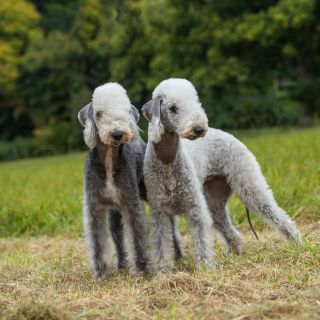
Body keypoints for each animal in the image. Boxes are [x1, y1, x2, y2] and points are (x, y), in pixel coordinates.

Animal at [79, 79, 302, 276]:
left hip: (248, 184)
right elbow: (161, 244)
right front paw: (163, 272)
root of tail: (227, 134)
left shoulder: (195, 209)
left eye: (196, 102)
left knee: (277, 215)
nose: (198, 128)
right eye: (173, 108)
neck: (168, 161)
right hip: (213, 202)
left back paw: (298, 243)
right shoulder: (160, 211)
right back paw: (234, 253)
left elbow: (201, 240)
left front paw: (204, 268)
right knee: (231, 232)